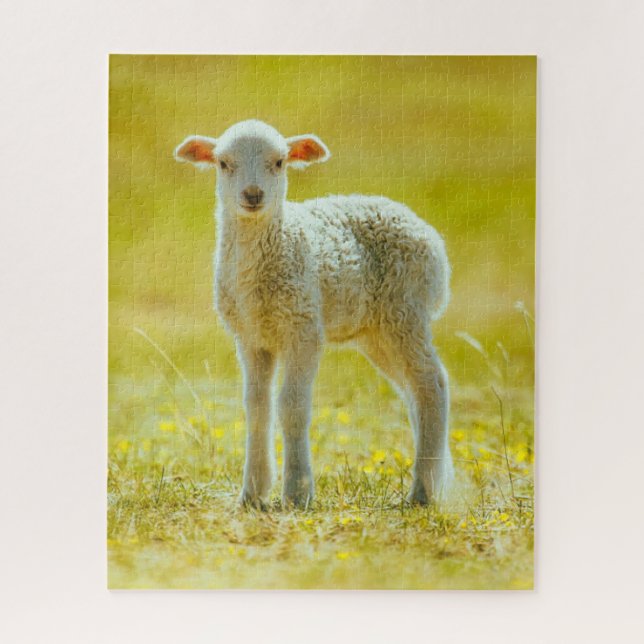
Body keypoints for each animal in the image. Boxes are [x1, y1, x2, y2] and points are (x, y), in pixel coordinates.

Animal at [174, 119, 454, 509]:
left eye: (280, 162)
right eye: (223, 163)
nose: (253, 195)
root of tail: (428, 234)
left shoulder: (303, 327)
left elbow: (291, 406)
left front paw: (297, 492)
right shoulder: (251, 337)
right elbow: (256, 408)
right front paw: (253, 493)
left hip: (406, 309)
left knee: (432, 385)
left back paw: (422, 493)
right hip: (377, 330)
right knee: (413, 391)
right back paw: (433, 479)